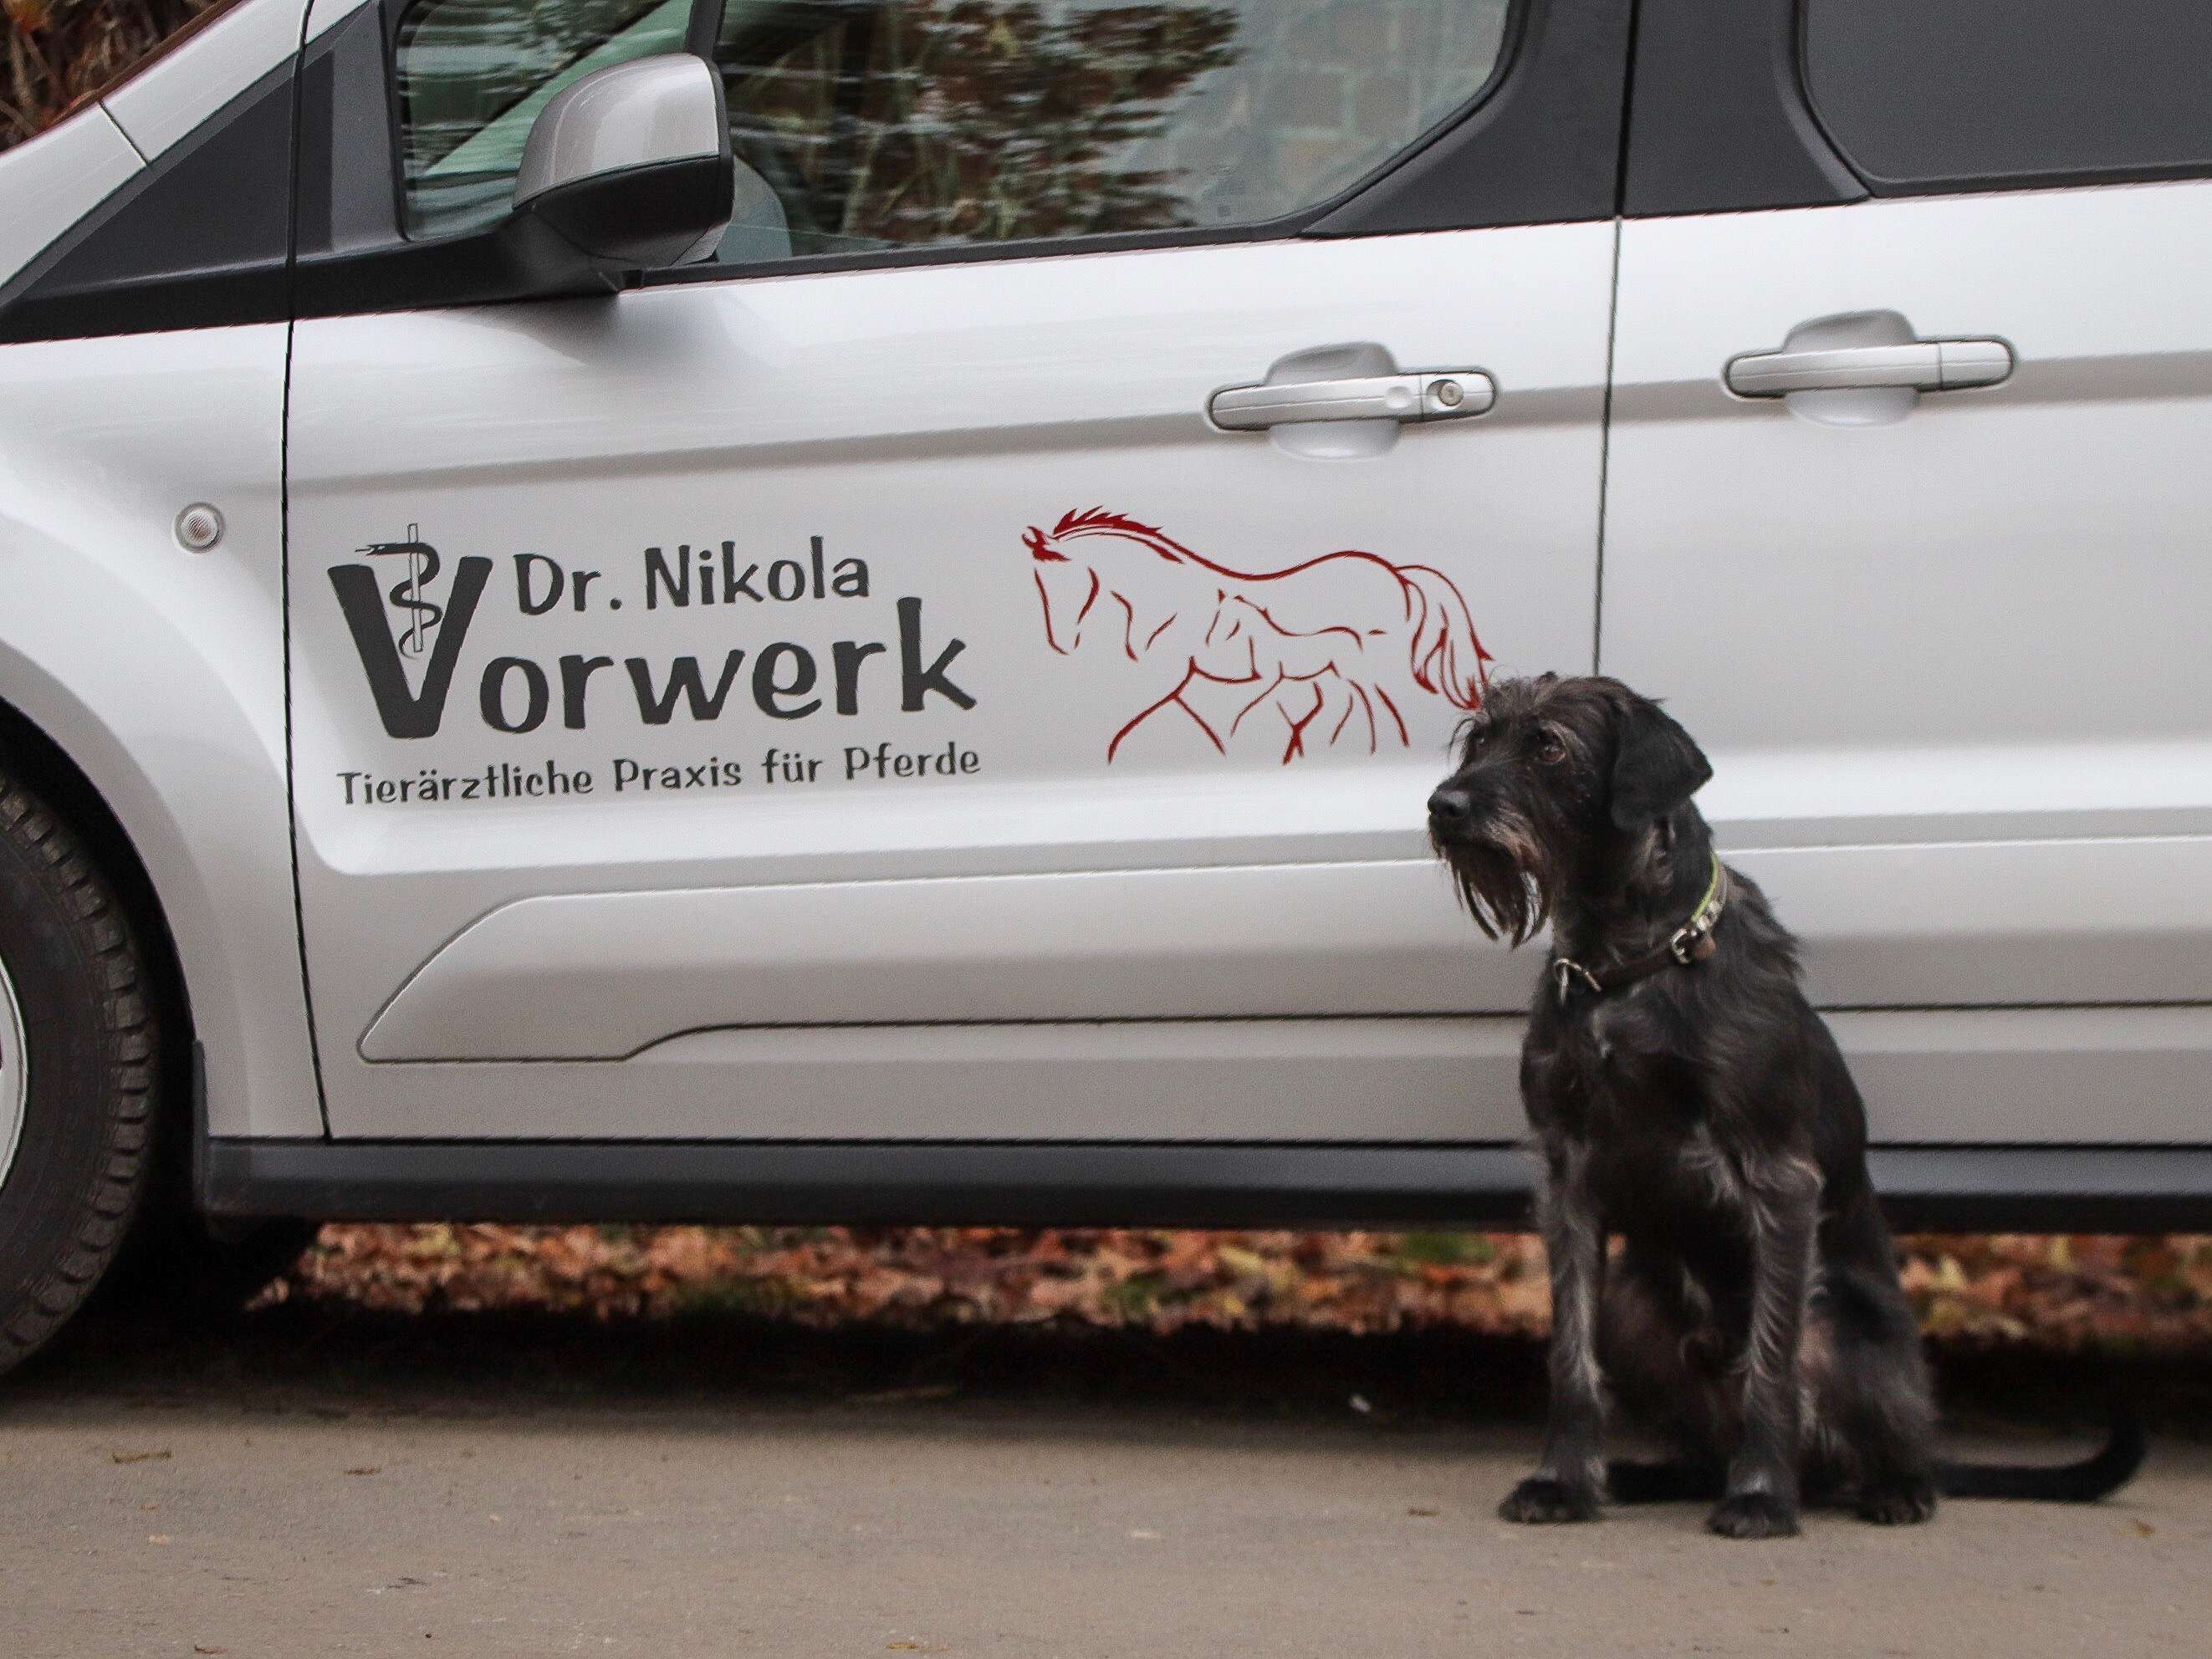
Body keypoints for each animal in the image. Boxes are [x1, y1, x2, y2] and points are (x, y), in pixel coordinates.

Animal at [1023, 507, 1491, 764]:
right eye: (1038, 583)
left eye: (1060, 575)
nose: (1062, 641)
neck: (1171, 598)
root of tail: (1399, 574)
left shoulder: (1171, 673)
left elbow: (1138, 716)